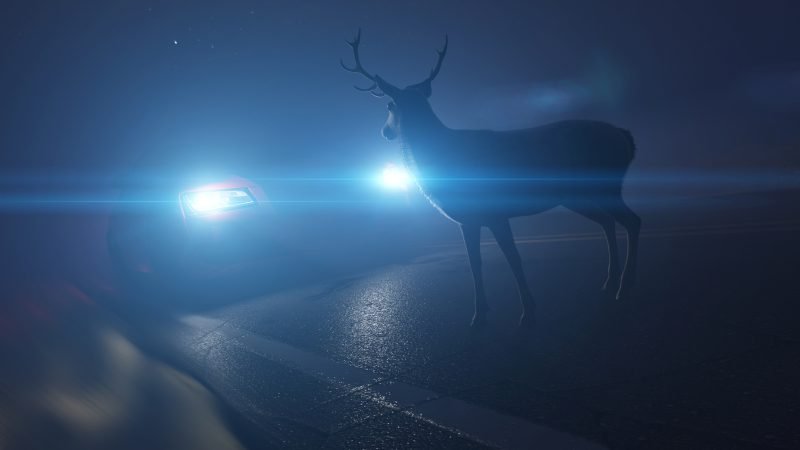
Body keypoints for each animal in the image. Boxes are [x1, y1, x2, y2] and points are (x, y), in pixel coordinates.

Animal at [341, 30, 641, 328]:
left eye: (389, 104)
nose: (385, 132)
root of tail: (625, 137)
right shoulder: (468, 220)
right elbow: (475, 263)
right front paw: (479, 314)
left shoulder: (497, 211)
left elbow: (513, 258)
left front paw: (527, 311)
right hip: (577, 195)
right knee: (608, 222)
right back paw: (610, 281)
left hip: (607, 184)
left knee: (632, 221)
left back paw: (625, 287)